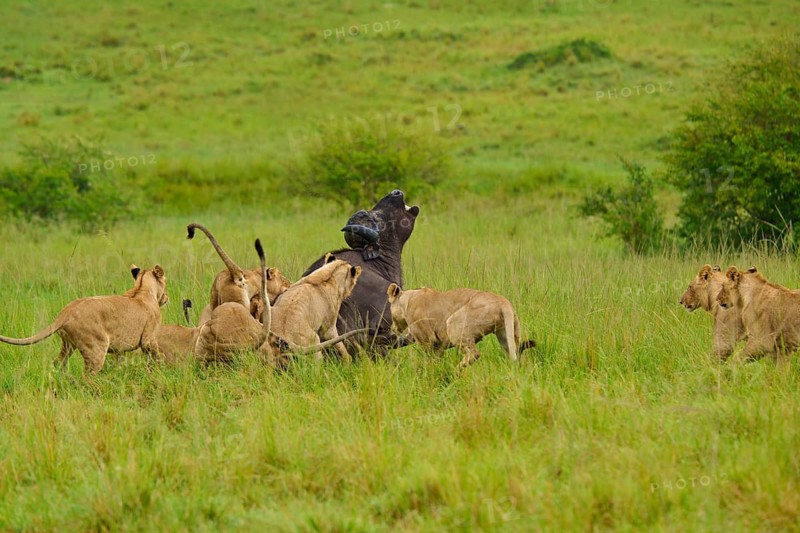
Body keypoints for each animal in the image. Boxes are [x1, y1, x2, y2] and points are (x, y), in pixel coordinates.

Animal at [0, 264, 168, 374]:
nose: (167, 297)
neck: (142, 288)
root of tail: (66, 311)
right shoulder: (148, 340)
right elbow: (157, 358)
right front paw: (160, 372)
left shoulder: (121, 347)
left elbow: (121, 361)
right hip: (96, 347)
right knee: (87, 375)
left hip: (68, 345)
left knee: (58, 363)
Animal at [386, 284, 536, 368]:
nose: (392, 328)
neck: (407, 300)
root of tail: (502, 301)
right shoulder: (439, 344)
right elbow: (437, 359)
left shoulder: (427, 339)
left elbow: (428, 359)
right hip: (508, 333)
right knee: (516, 351)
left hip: (454, 322)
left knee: (474, 354)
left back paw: (457, 370)